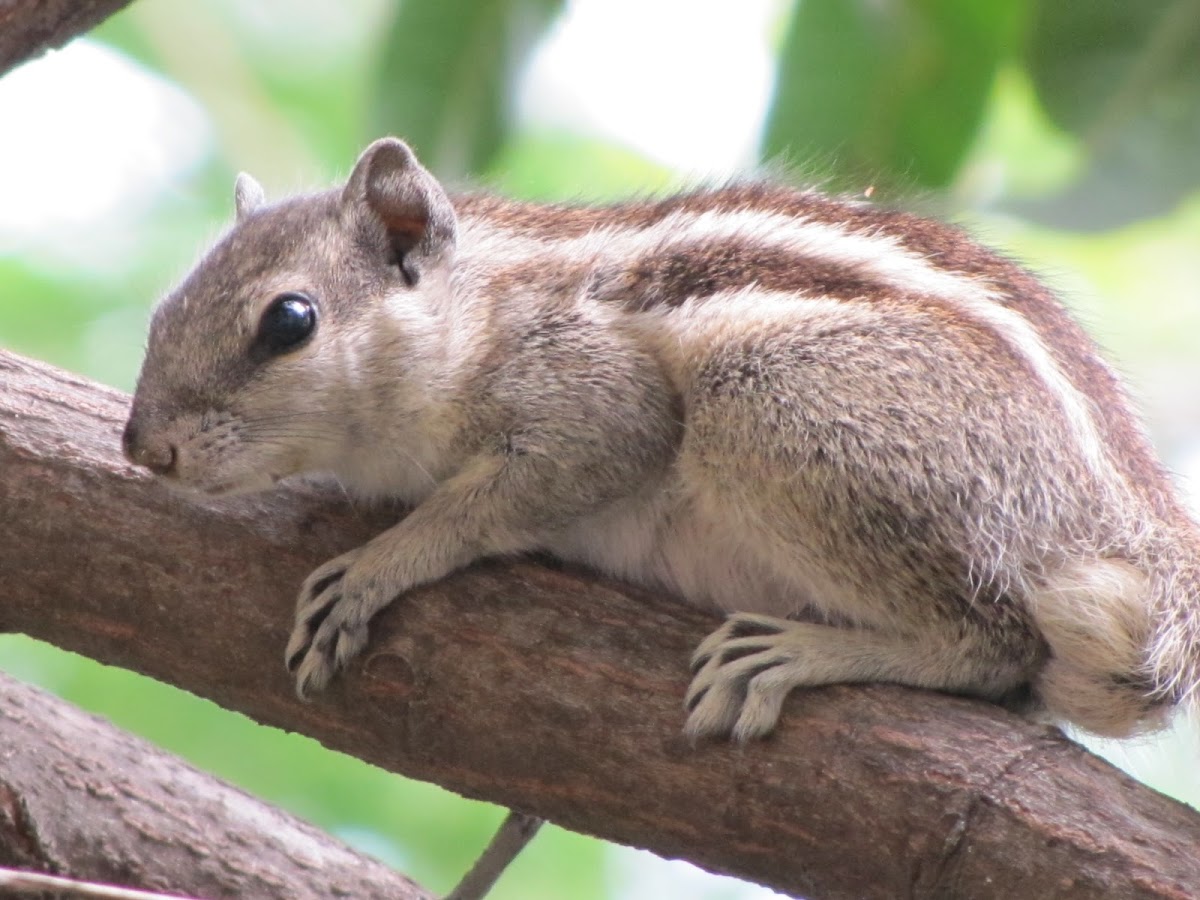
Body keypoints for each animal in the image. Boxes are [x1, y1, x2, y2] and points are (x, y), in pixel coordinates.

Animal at [121, 139, 1200, 748]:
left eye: (289, 321)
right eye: (165, 304)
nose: (143, 451)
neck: (482, 312)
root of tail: (1135, 531)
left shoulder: (597, 397)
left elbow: (506, 494)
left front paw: (384, 561)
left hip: (769, 398)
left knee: (993, 641)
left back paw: (802, 652)